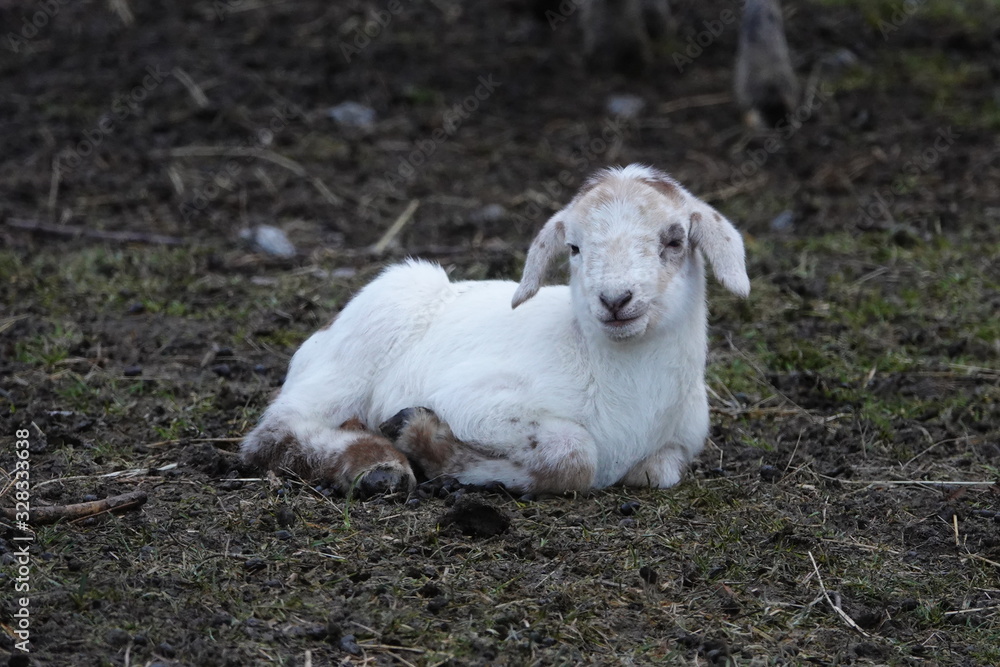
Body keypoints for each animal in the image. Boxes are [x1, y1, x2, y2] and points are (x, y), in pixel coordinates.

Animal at [240, 164, 750, 497]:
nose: (615, 300)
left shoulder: (676, 449)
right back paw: (378, 466)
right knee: (275, 433)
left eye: (674, 240)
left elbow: (655, 473)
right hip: (356, 353)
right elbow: (575, 454)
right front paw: (426, 441)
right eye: (574, 246)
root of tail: (320, 336)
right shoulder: (476, 401)